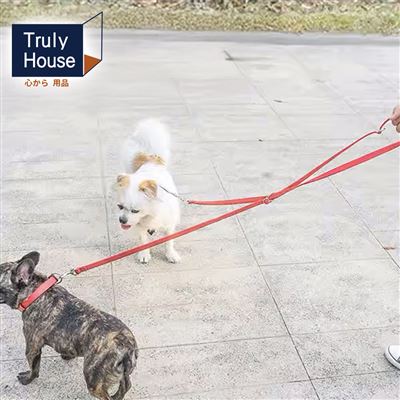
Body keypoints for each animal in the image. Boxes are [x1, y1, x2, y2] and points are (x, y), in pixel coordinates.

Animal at [0, 252, 138, 400]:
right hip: (120, 373)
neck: (35, 293)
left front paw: (27, 379)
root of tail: (127, 347)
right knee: (126, 385)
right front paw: (67, 355)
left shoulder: (32, 347)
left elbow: (34, 368)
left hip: (94, 381)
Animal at [116, 119, 181, 264]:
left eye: (135, 211)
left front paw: (170, 254)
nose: (122, 220)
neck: (150, 215)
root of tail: (151, 157)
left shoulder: (169, 222)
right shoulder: (139, 225)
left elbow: (169, 241)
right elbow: (143, 240)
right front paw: (144, 254)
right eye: (120, 207)